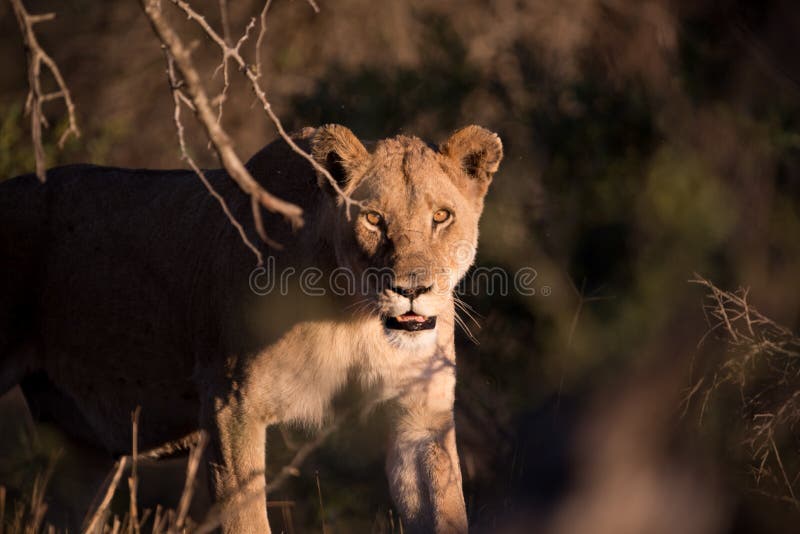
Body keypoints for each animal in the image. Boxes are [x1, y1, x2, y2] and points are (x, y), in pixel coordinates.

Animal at [0, 124, 503, 533]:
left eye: (441, 216)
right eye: (374, 218)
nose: (412, 288)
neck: (354, 317)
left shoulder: (420, 416)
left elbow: (444, 509)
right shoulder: (232, 405)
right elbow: (246, 519)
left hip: (85, 452)